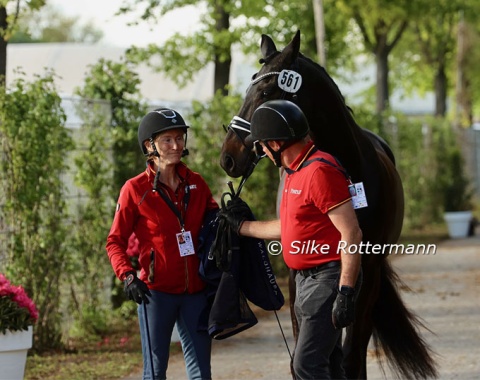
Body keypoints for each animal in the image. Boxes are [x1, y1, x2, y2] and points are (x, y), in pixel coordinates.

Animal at [219, 31, 436, 378]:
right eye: (249, 86)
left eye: (266, 91)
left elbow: (351, 355)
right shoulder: (295, 275)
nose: (228, 156)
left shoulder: (366, 272)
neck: (347, 167)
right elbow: (303, 350)